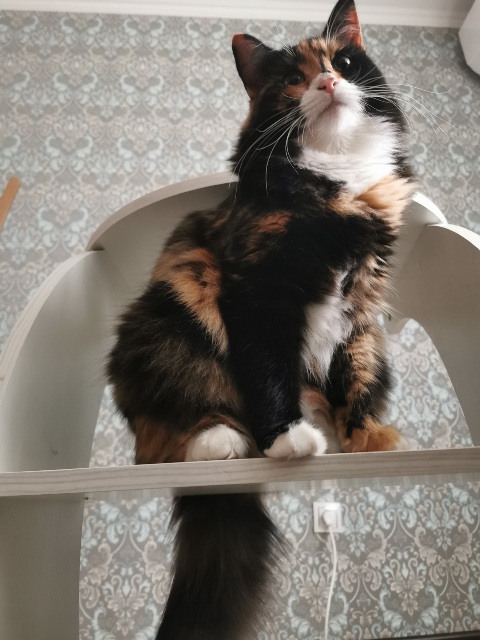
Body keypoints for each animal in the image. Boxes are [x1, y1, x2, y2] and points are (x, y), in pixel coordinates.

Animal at [107, 0, 415, 637]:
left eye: (345, 62)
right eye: (294, 79)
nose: (328, 83)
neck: (337, 185)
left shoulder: (359, 311)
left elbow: (354, 379)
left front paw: (366, 438)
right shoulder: (255, 293)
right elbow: (267, 367)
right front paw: (288, 438)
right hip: (171, 324)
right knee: (160, 442)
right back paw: (224, 441)